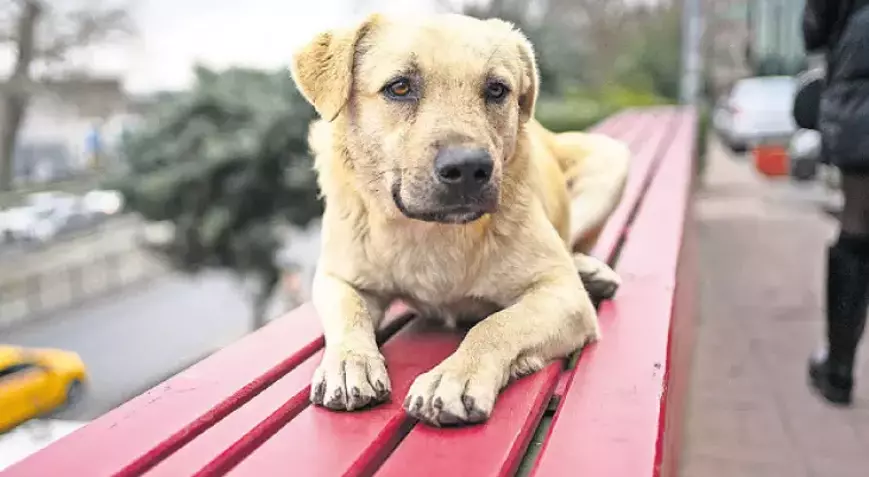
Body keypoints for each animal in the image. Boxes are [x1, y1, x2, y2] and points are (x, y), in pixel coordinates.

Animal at [292, 13, 632, 426]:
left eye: (497, 89)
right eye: (400, 87)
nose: (469, 168)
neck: (432, 231)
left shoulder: (564, 297)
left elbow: (495, 325)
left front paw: (455, 375)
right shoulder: (338, 278)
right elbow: (349, 312)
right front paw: (348, 362)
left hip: (610, 160)